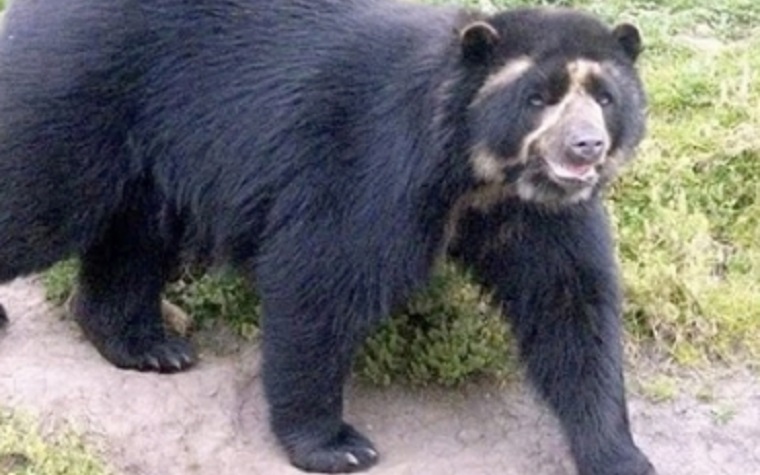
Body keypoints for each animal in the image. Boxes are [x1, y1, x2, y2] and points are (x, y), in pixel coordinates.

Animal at [0, 0, 655, 474]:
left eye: (605, 96)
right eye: (538, 97)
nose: (586, 147)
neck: (476, 173)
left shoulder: (542, 215)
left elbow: (570, 304)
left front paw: (621, 455)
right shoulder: (374, 165)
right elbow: (322, 277)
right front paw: (337, 444)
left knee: (136, 237)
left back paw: (147, 345)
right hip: (82, 94)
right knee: (36, 194)